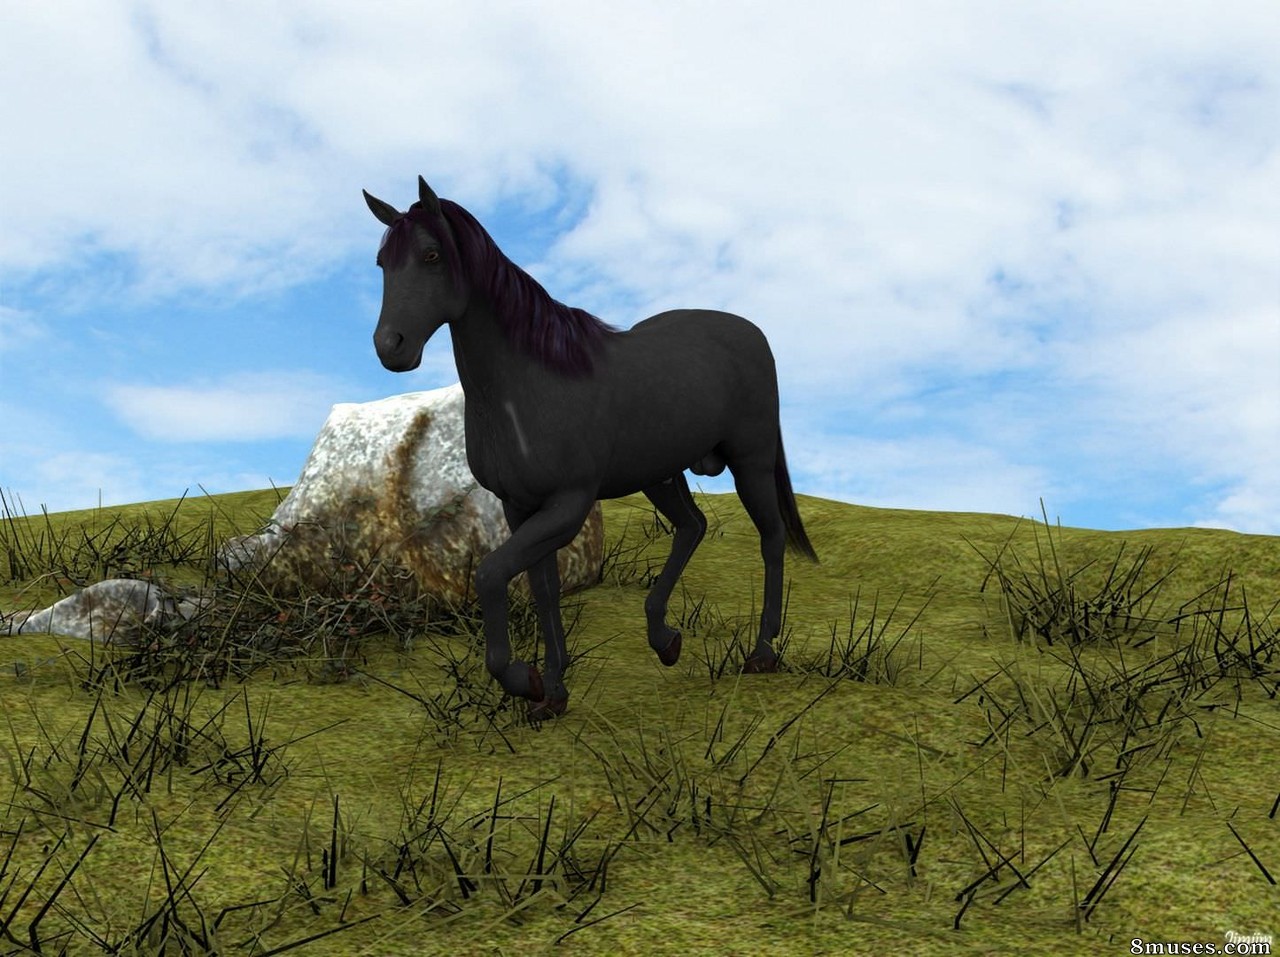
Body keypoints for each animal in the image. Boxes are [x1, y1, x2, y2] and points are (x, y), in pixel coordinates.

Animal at [363, 176, 818, 719]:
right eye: (381, 262)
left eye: (432, 255)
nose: (390, 346)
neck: (527, 384)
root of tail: (752, 332)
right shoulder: (520, 507)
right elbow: (544, 589)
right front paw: (552, 694)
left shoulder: (568, 504)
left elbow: (492, 574)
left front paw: (523, 679)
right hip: (659, 473)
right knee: (692, 526)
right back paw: (664, 639)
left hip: (751, 463)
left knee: (770, 539)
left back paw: (762, 653)